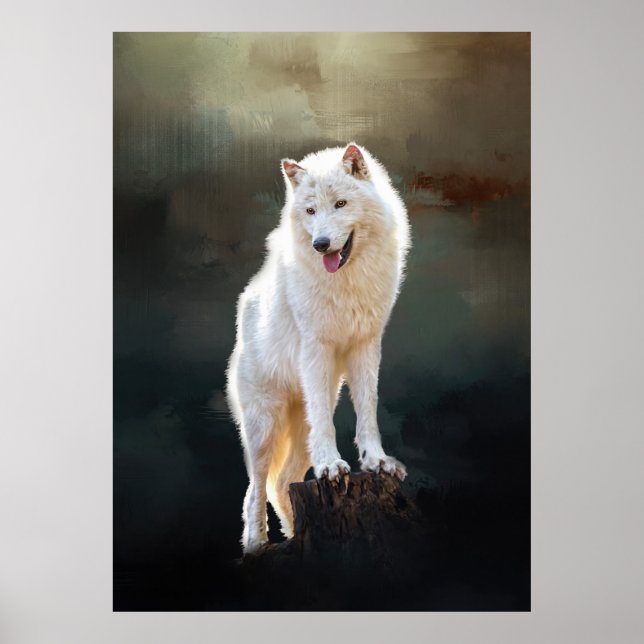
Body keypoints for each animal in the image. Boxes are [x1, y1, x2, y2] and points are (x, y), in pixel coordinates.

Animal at [226, 143, 411, 553]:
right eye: (311, 211)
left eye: (340, 204)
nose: (321, 244)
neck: (346, 283)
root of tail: (244, 301)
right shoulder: (316, 350)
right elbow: (326, 424)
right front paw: (330, 466)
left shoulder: (366, 345)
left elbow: (368, 409)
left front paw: (376, 461)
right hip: (264, 427)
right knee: (253, 490)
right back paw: (255, 546)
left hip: (303, 420)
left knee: (281, 483)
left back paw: (296, 538)